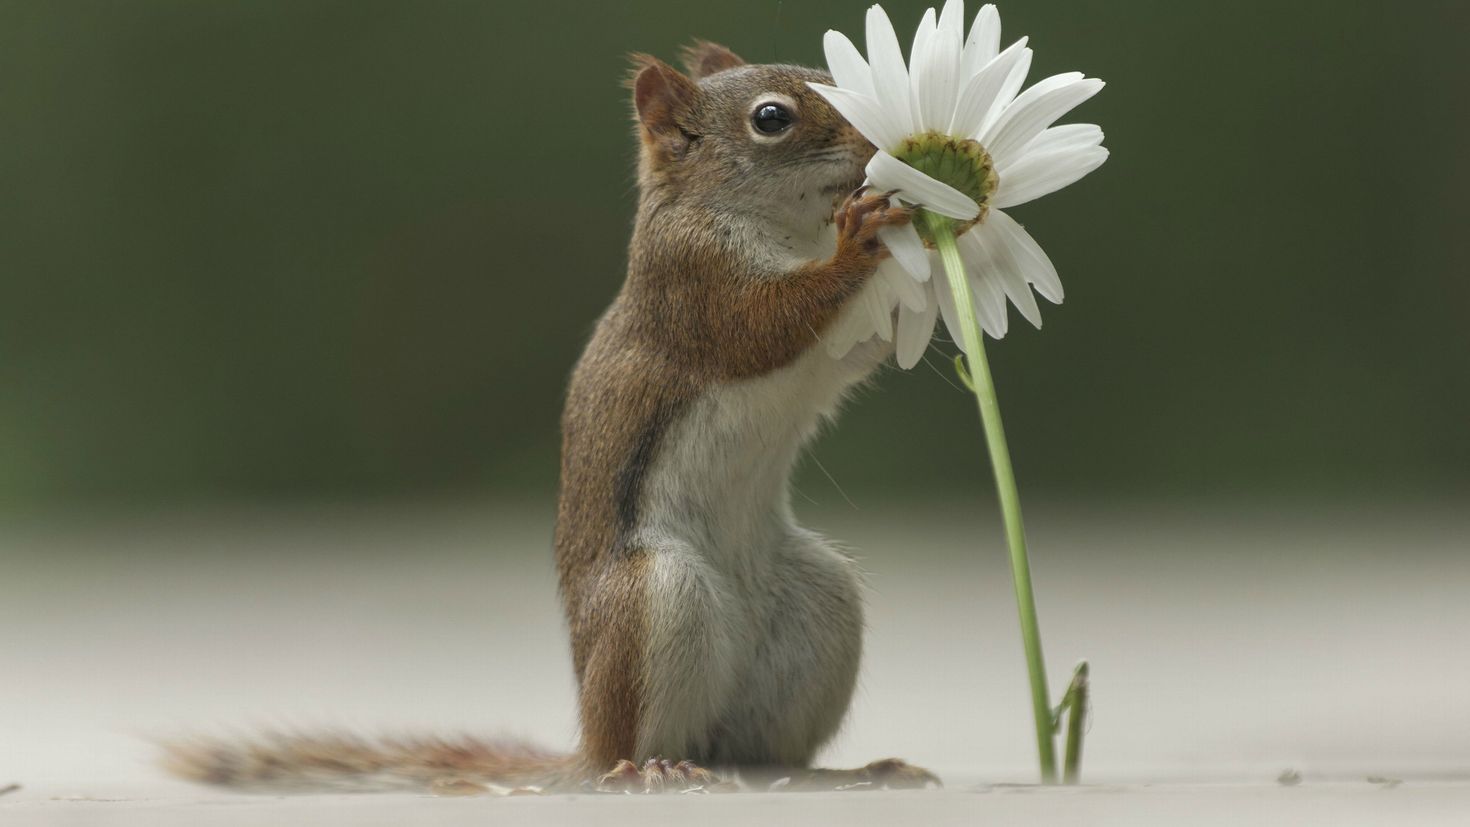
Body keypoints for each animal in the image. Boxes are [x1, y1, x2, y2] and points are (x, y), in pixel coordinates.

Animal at [163, 43, 940, 793]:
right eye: (772, 118)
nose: (877, 143)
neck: (782, 228)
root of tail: (585, 750)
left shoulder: (826, 339)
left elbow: (859, 345)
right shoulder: (692, 285)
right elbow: (764, 327)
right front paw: (861, 240)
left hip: (818, 605)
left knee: (761, 753)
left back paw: (847, 772)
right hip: (651, 597)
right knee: (635, 746)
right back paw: (652, 770)